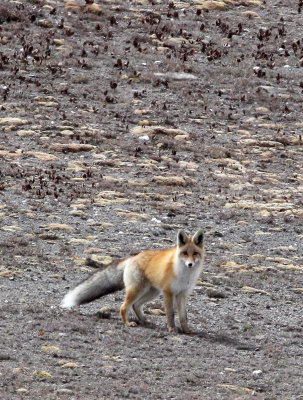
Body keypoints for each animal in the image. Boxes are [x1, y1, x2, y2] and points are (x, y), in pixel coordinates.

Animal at [60, 228, 205, 334]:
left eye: (195, 253)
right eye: (185, 253)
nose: (190, 264)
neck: (184, 274)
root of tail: (132, 258)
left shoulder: (182, 294)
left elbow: (183, 316)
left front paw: (186, 330)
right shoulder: (168, 292)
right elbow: (171, 313)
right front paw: (172, 328)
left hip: (151, 292)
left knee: (136, 305)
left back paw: (145, 321)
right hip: (138, 290)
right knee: (124, 307)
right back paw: (128, 323)